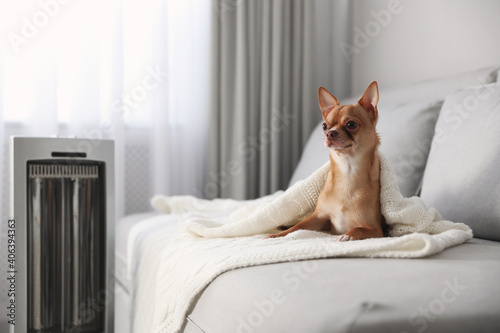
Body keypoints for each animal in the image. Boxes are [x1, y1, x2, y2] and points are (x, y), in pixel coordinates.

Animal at [270, 80, 382, 241]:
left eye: (351, 124)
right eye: (324, 126)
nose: (330, 133)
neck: (347, 172)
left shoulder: (377, 231)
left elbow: (358, 229)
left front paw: (348, 235)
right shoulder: (318, 217)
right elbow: (297, 227)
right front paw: (278, 235)